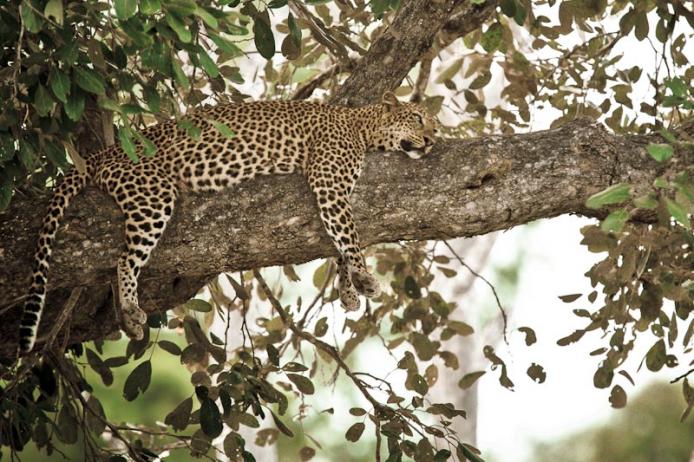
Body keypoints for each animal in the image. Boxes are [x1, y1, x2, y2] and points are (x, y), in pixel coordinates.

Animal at [17, 91, 436, 354]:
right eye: (418, 118)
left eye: (433, 123)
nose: (434, 139)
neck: (362, 127)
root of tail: (107, 151)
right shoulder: (329, 182)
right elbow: (349, 236)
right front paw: (364, 277)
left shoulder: (332, 192)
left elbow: (338, 244)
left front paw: (349, 289)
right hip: (153, 194)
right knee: (124, 259)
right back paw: (133, 312)